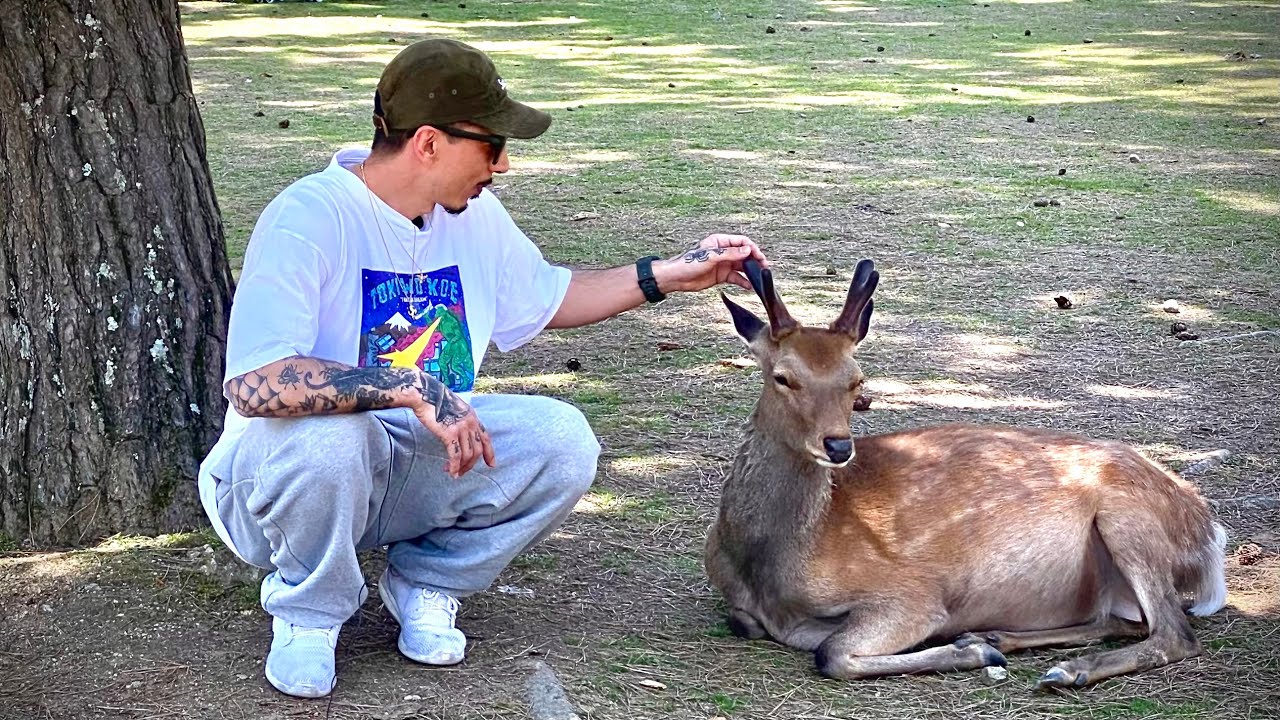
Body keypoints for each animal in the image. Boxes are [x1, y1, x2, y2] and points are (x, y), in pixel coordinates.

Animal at [704, 258, 1228, 688]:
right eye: (783, 377)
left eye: (857, 380)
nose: (838, 445)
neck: (771, 570)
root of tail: (1208, 531)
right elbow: (746, 623)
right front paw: (978, 646)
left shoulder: (912, 592)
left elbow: (831, 653)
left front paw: (972, 655)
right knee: (1125, 620)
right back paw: (998, 636)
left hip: (1128, 517)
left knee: (1174, 633)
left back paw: (1061, 668)